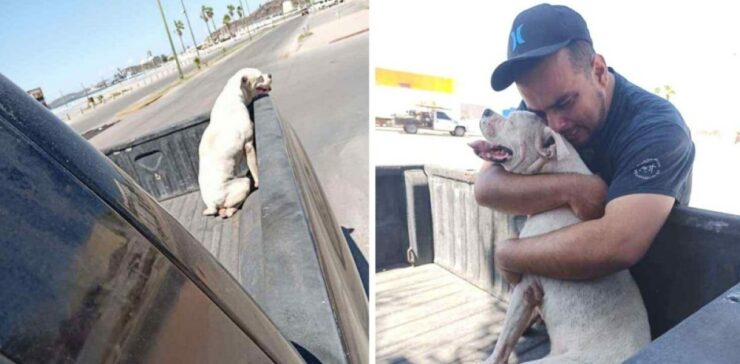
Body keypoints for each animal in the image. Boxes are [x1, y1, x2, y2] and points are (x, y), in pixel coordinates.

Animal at [199, 67, 272, 219]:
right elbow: (254, 167)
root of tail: (211, 204)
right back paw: (229, 210)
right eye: (260, 78)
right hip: (243, 183)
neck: (233, 95)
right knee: (227, 208)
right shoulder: (248, 145)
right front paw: (258, 182)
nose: (270, 75)